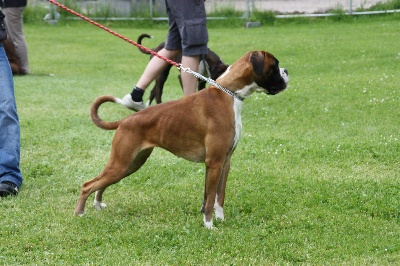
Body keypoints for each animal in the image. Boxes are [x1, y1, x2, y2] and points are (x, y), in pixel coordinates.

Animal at [74, 50, 288, 229]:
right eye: (275, 66)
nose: (286, 71)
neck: (229, 93)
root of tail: (126, 120)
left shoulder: (224, 162)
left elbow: (218, 196)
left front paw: (219, 219)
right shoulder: (215, 163)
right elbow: (210, 198)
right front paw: (209, 226)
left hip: (130, 164)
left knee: (101, 183)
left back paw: (98, 204)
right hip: (121, 164)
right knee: (87, 185)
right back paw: (79, 213)